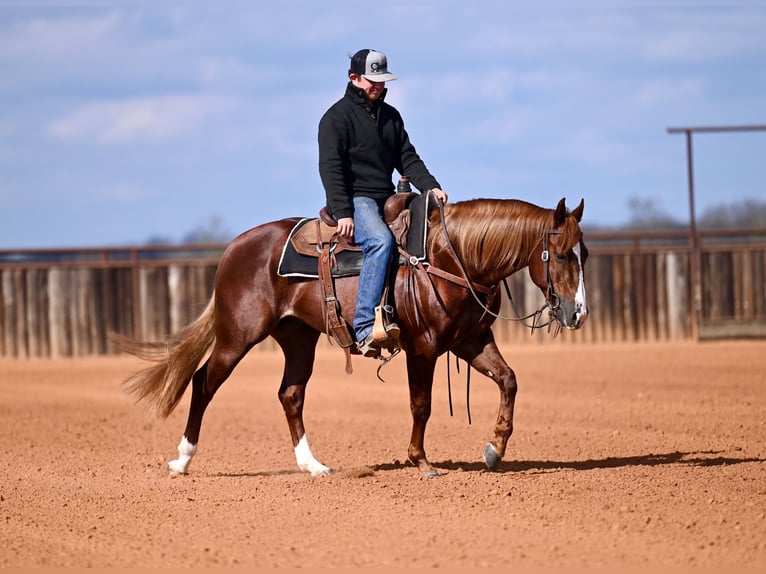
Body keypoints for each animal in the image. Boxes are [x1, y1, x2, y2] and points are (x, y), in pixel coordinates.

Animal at [117, 195, 588, 477]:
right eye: (563, 254)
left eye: (584, 252)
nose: (578, 313)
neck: (446, 258)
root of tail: (233, 248)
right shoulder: (423, 348)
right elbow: (422, 404)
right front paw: (422, 462)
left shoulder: (469, 341)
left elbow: (509, 380)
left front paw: (494, 449)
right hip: (237, 336)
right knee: (203, 383)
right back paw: (182, 461)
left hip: (298, 339)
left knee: (290, 395)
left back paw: (313, 465)